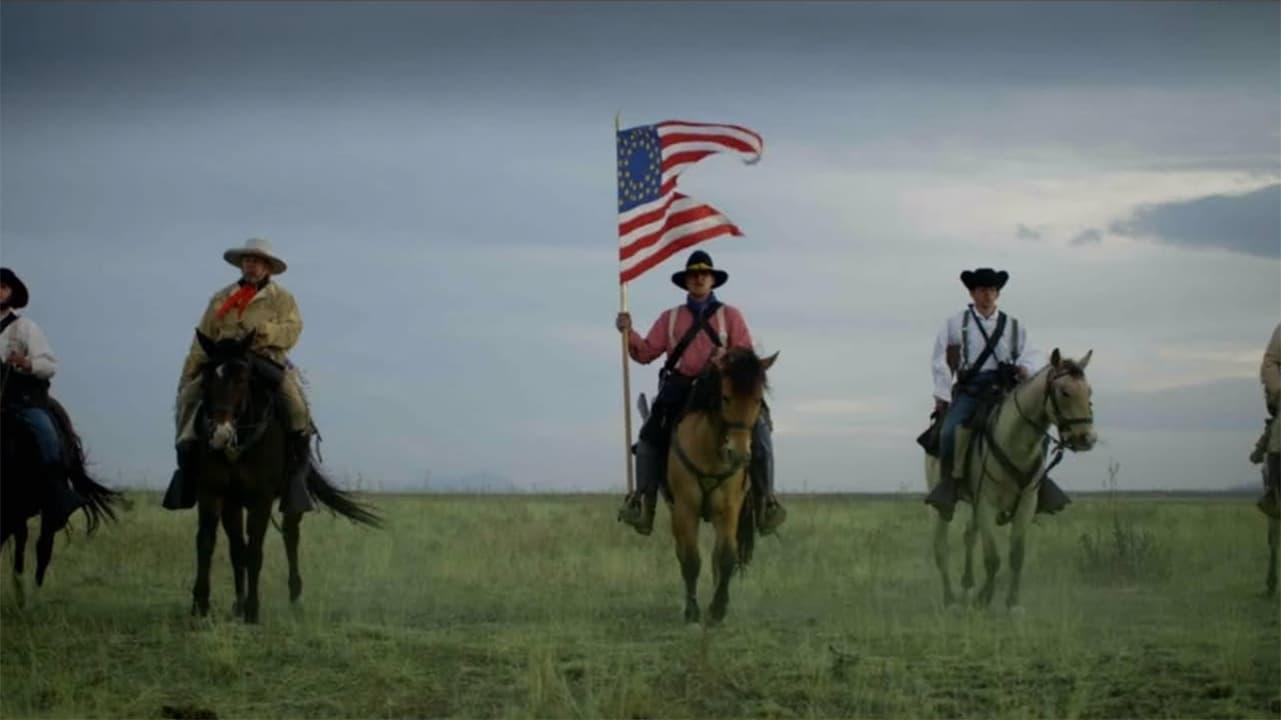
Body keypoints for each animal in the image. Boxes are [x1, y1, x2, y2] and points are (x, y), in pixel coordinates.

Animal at [187, 327, 379, 620]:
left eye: (242, 378)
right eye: (207, 376)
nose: (219, 434)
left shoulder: (261, 499)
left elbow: (256, 550)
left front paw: (253, 611)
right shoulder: (213, 492)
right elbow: (209, 543)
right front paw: (201, 605)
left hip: (291, 499)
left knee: (290, 537)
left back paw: (295, 597)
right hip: (233, 503)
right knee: (237, 547)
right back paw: (238, 604)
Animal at [666, 345, 773, 622]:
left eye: (758, 400)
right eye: (725, 398)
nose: (738, 454)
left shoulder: (728, 507)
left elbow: (726, 556)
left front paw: (718, 608)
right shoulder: (686, 508)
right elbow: (691, 559)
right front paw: (692, 610)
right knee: (682, 551)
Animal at [927, 348, 1096, 604]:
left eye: (1089, 392)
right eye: (1064, 392)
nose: (1087, 439)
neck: (1014, 443)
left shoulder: (1026, 503)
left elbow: (1016, 555)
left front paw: (1011, 603)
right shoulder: (986, 504)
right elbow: (992, 558)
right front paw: (984, 599)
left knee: (969, 536)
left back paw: (967, 586)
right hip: (945, 504)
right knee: (941, 546)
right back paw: (950, 598)